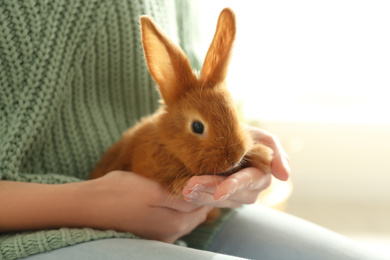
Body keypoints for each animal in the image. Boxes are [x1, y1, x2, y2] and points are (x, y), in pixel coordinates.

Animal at [90, 8, 272, 218]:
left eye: (234, 113)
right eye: (197, 126)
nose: (233, 158)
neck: (168, 143)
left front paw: (264, 155)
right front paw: (185, 185)